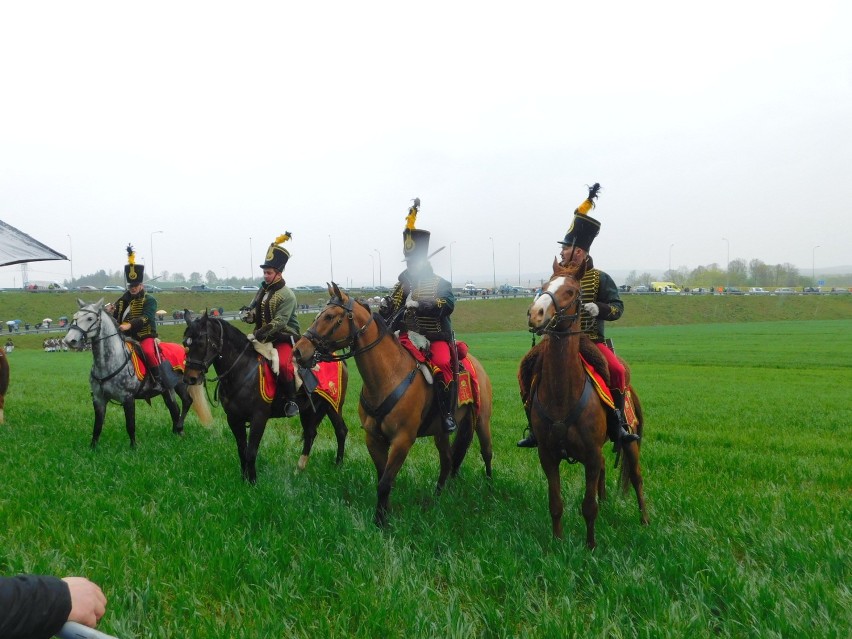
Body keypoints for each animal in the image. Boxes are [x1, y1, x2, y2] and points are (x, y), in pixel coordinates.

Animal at [292, 284, 492, 524]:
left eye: (330, 316)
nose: (298, 351)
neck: (388, 376)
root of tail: (473, 362)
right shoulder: (374, 438)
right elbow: (382, 478)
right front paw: (384, 513)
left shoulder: (402, 440)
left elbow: (386, 482)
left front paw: (381, 522)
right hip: (441, 432)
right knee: (447, 461)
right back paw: (437, 497)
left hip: (481, 420)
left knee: (486, 452)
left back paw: (490, 488)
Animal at [524, 262, 648, 552]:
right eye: (544, 286)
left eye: (571, 291)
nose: (535, 314)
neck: (562, 395)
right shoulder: (547, 456)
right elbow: (555, 504)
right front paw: (557, 543)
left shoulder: (590, 455)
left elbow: (588, 507)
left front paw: (590, 546)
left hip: (630, 442)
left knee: (636, 477)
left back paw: (645, 521)